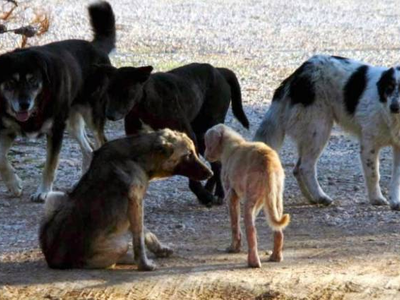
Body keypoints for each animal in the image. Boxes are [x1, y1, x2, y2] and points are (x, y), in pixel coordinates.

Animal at [0, 1, 115, 203]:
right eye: (11, 82)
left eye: (32, 80)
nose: (24, 104)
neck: (37, 105)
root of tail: (96, 47)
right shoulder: (8, 129)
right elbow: (1, 160)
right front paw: (14, 184)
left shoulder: (55, 130)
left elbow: (50, 165)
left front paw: (43, 192)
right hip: (72, 121)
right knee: (89, 150)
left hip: (91, 115)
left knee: (101, 143)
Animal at [93, 62, 250, 205]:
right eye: (108, 92)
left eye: (126, 92)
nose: (110, 115)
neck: (145, 103)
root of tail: (219, 71)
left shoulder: (189, 137)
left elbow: (192, 170)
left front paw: (202, 194)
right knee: (215, 163)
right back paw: (210, 190)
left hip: (204, 133)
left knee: (217, 164)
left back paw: (218, 194)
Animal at [205, 123, 290, 268]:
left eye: (206, 142)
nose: (205, 156)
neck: (232, 145)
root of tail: (268, 161)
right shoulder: (261, 202)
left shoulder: (231, 195)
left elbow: (235, 225)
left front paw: (234, 248)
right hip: (276, 200)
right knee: (278, 231)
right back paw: (276, 257)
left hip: (250, 201)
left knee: (251, 231)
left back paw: (253, 262)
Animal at [255, 55, 400, 212]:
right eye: (389, 88)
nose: (394, 107)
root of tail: (298, 73)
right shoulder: (369, 145)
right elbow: (374, 174)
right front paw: (376, 199)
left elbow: (396, 178)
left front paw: (395, 201)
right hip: (319, 129)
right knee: (305, 167)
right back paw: (321, 197)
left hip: (309, 134)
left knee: (297, 169)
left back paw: (312, 198)